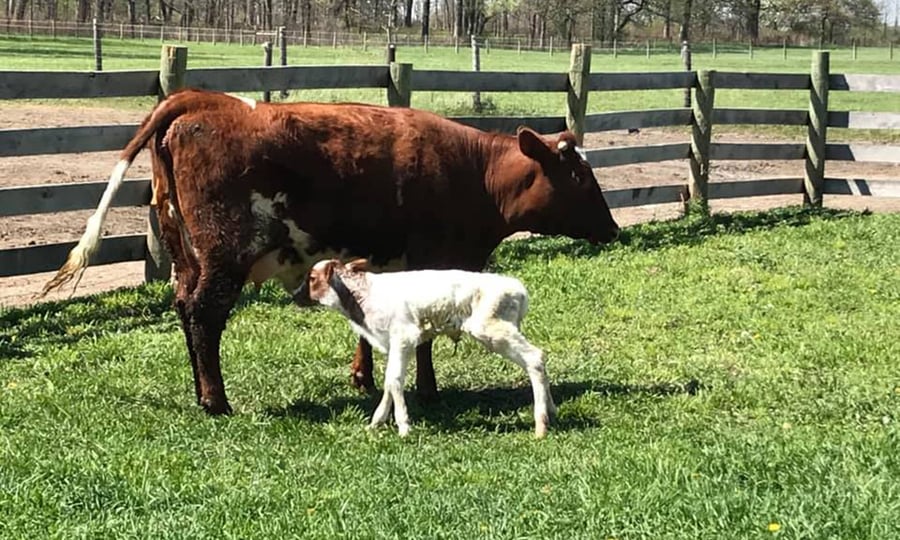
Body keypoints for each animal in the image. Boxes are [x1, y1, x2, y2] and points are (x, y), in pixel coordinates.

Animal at [42, 88, 619, 415]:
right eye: (580, 177)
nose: (613, 229)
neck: (472, 172)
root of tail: (203, 100)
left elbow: (367, 325)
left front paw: (364, 378)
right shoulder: (432, 259)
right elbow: (427, 339)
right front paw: (428, 389)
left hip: (186, 255)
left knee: (185, 309)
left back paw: (201, 392)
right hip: (225, 253)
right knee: (205, 315)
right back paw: (216, 401)